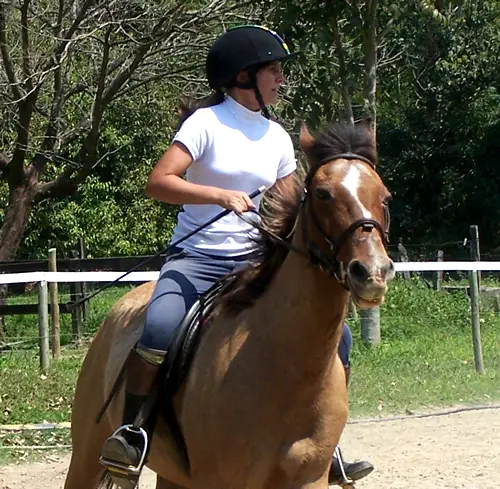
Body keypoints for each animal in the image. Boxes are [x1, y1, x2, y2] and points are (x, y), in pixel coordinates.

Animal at [64, 120, 394, 489]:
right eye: (323, 194)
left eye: (384, 196)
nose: (373, 272)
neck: (284, 364)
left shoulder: (310, 478)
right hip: (86, 455)